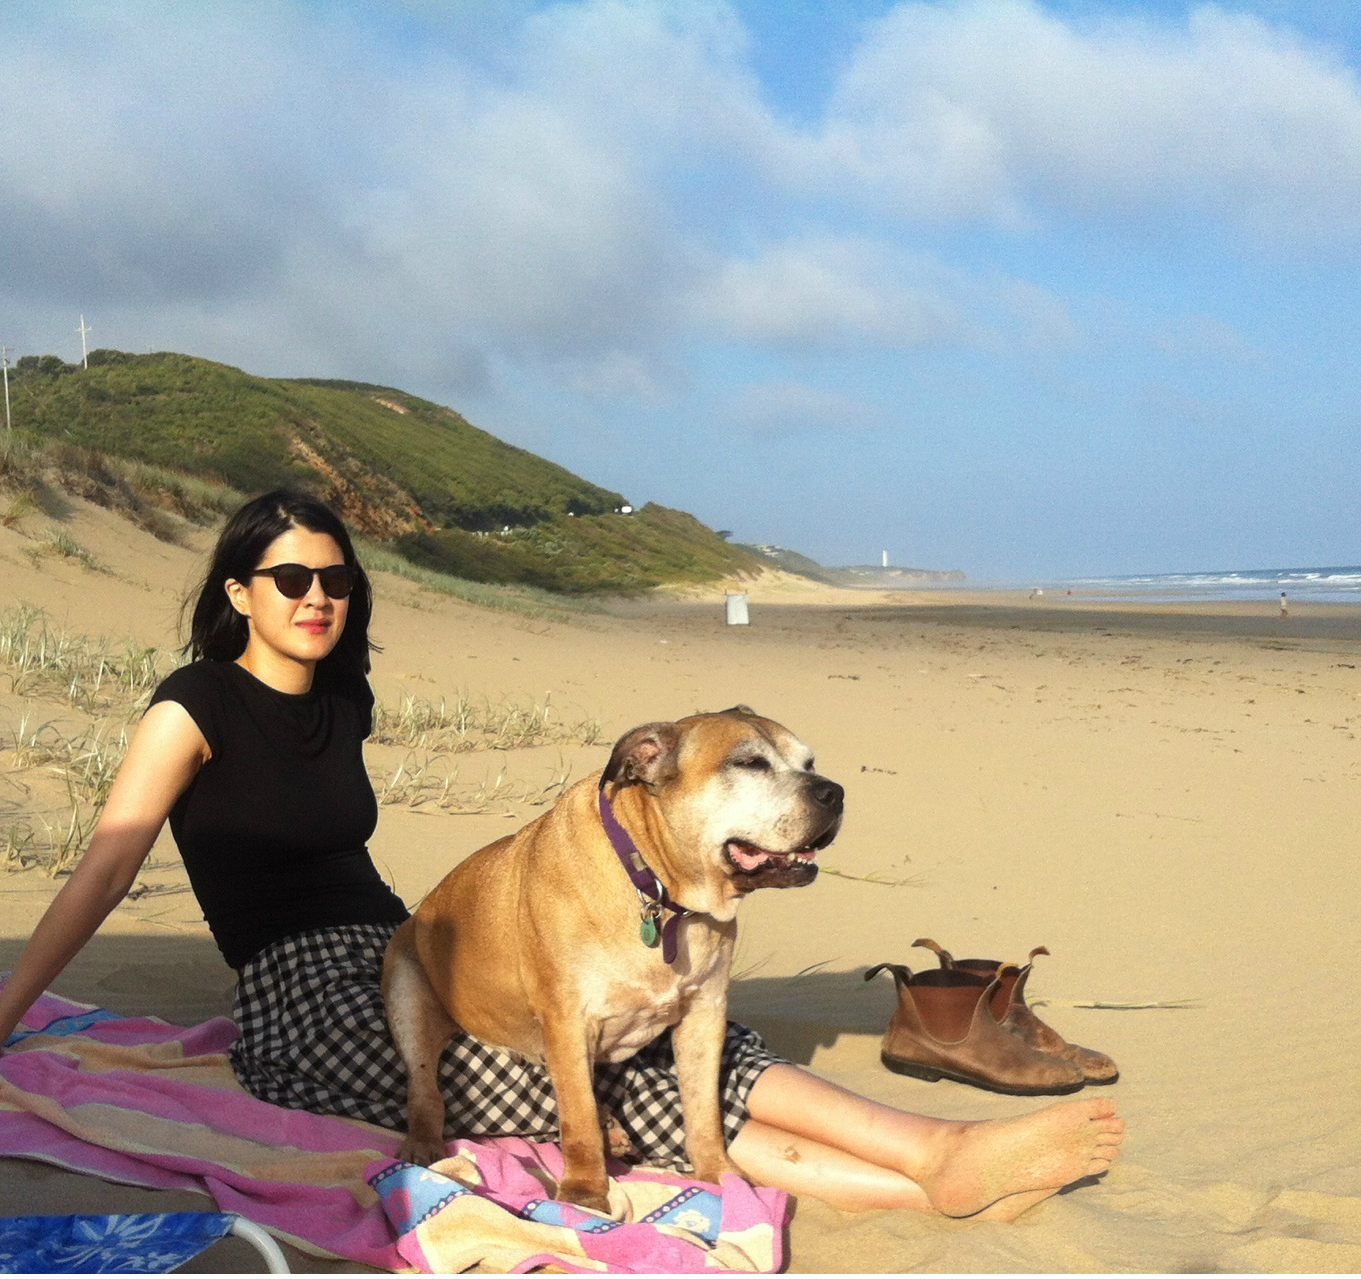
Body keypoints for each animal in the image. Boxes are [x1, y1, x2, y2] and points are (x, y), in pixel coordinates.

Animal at [382, 706, 843, 1212]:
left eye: (810, 762)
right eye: (750, 764)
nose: (834, 792)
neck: (658, 887)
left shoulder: (704, 1015)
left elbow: (703, 1109)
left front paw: (720, 1174)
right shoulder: (569, 1019)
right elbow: (578, 1119)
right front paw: (584, 1191)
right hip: (407, 995)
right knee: (426, 1089)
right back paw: (425, 1146)